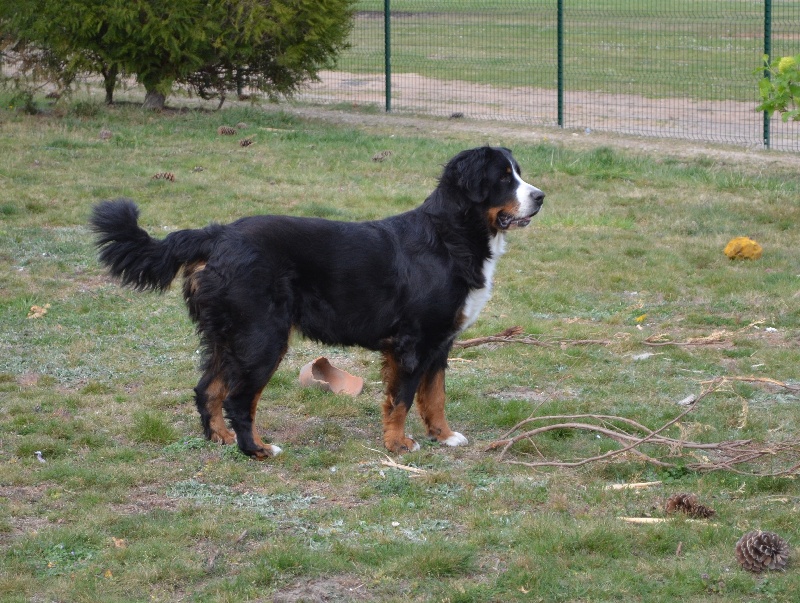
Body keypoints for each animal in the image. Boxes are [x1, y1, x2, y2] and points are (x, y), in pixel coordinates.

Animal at [92, 146, 544, 458]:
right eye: (503, 178)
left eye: (518, 173)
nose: (540, 196)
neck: (451, 236)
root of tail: (218, 234)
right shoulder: (413, 343)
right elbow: (401, 399)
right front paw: (398, 445)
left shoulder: (440, 341)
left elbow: (434, 396)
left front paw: (444, 436)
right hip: (262, 337)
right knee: (239, 399)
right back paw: (256, 450)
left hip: (229, 337)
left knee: (208, 390)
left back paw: (220, 438)